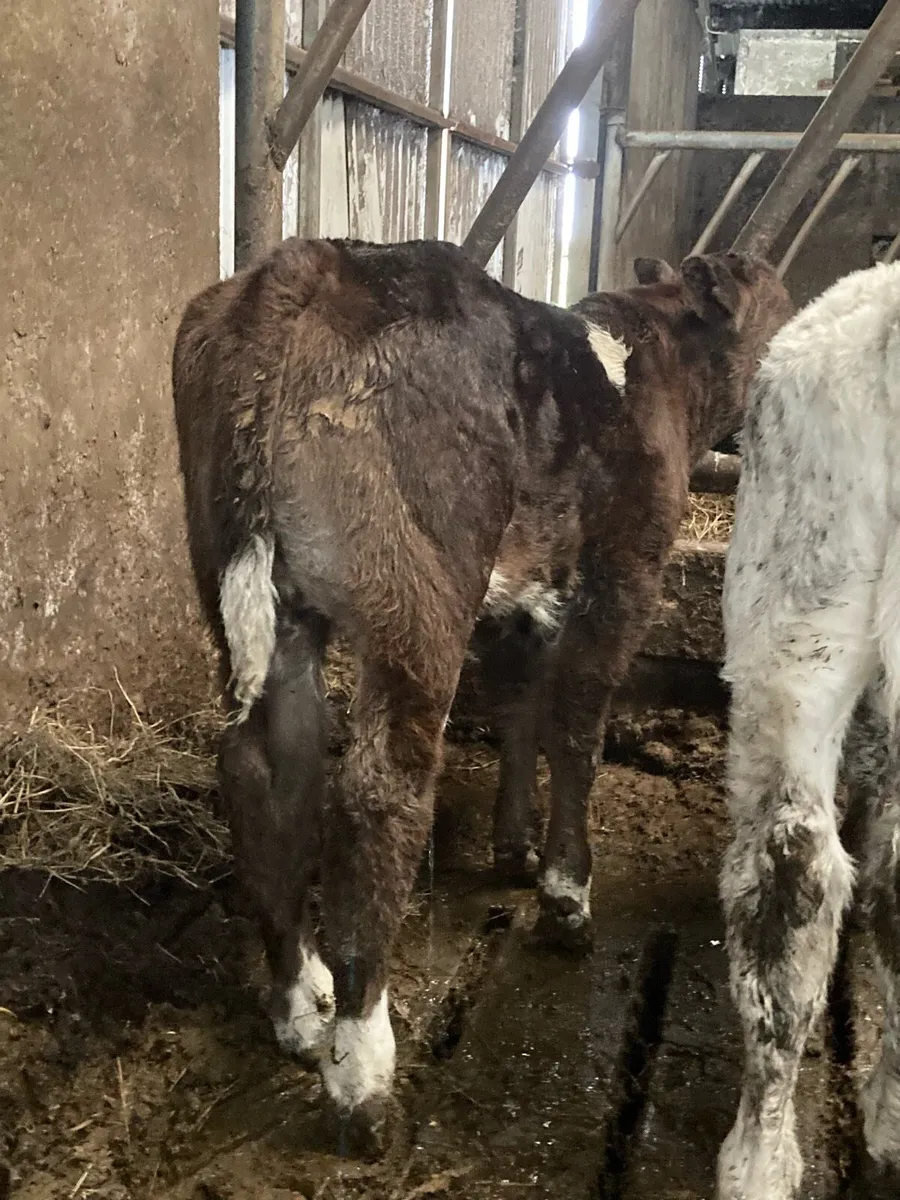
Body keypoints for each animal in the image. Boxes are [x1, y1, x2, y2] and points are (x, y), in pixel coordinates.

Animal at [172, 237, 792, 1154]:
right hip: (419, 596)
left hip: (249, 590)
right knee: (379, 791)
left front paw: (511, 847)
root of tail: (305, 264)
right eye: (791, 316)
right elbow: (576, 723)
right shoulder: (626, 571)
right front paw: (566, 894)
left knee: (262, 771)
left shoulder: (520, 598)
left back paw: (297, 997)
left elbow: (518, 712)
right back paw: (360, 1071)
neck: (657, 358)